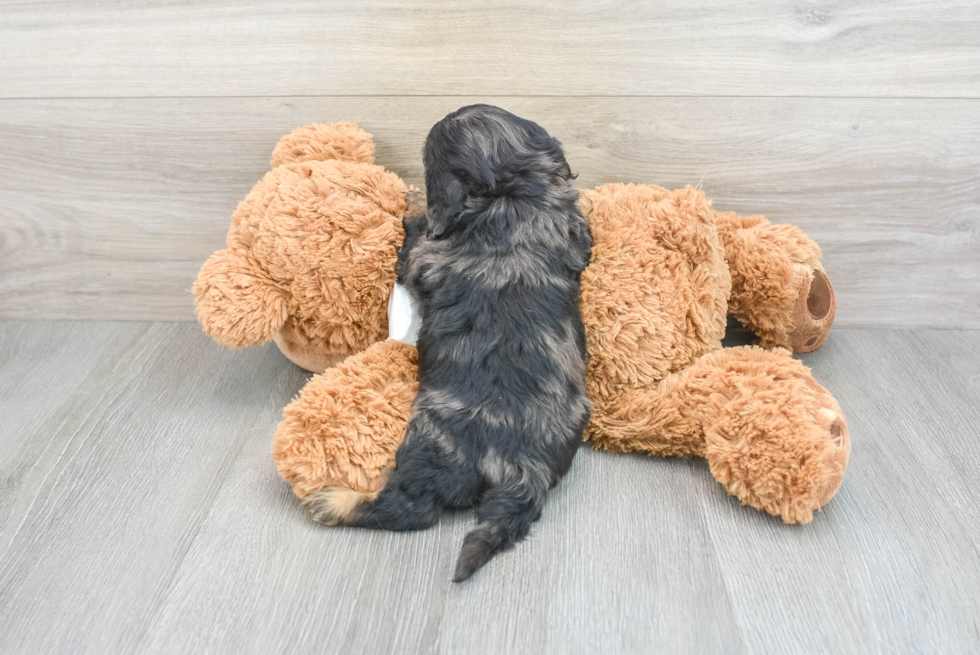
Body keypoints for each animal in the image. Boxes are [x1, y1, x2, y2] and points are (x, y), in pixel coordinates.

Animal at [302, 106, 592, 584]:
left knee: (408, 509)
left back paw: (334, 501)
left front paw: (413, 200)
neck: (514, 195)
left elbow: (415, 237)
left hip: (430, 448)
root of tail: (523, 466)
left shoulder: (422, 255)